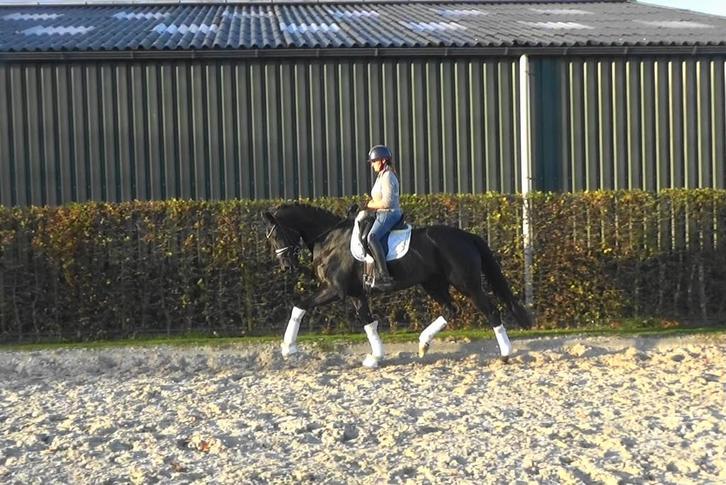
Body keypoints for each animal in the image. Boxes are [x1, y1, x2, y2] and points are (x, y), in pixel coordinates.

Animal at [262, 203, 532, 368]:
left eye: (276, 235)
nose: (286, 266)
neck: (329, 239)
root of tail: (467, 236)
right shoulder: (356, 294)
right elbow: (368, 322)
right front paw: (375, 357)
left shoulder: (335, 291)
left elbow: (300, 305)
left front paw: (288, 349)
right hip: (432, 283)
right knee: (450, 309)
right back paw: (423, 344)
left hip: (467, 284)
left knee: (491, 310)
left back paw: (505, 354)